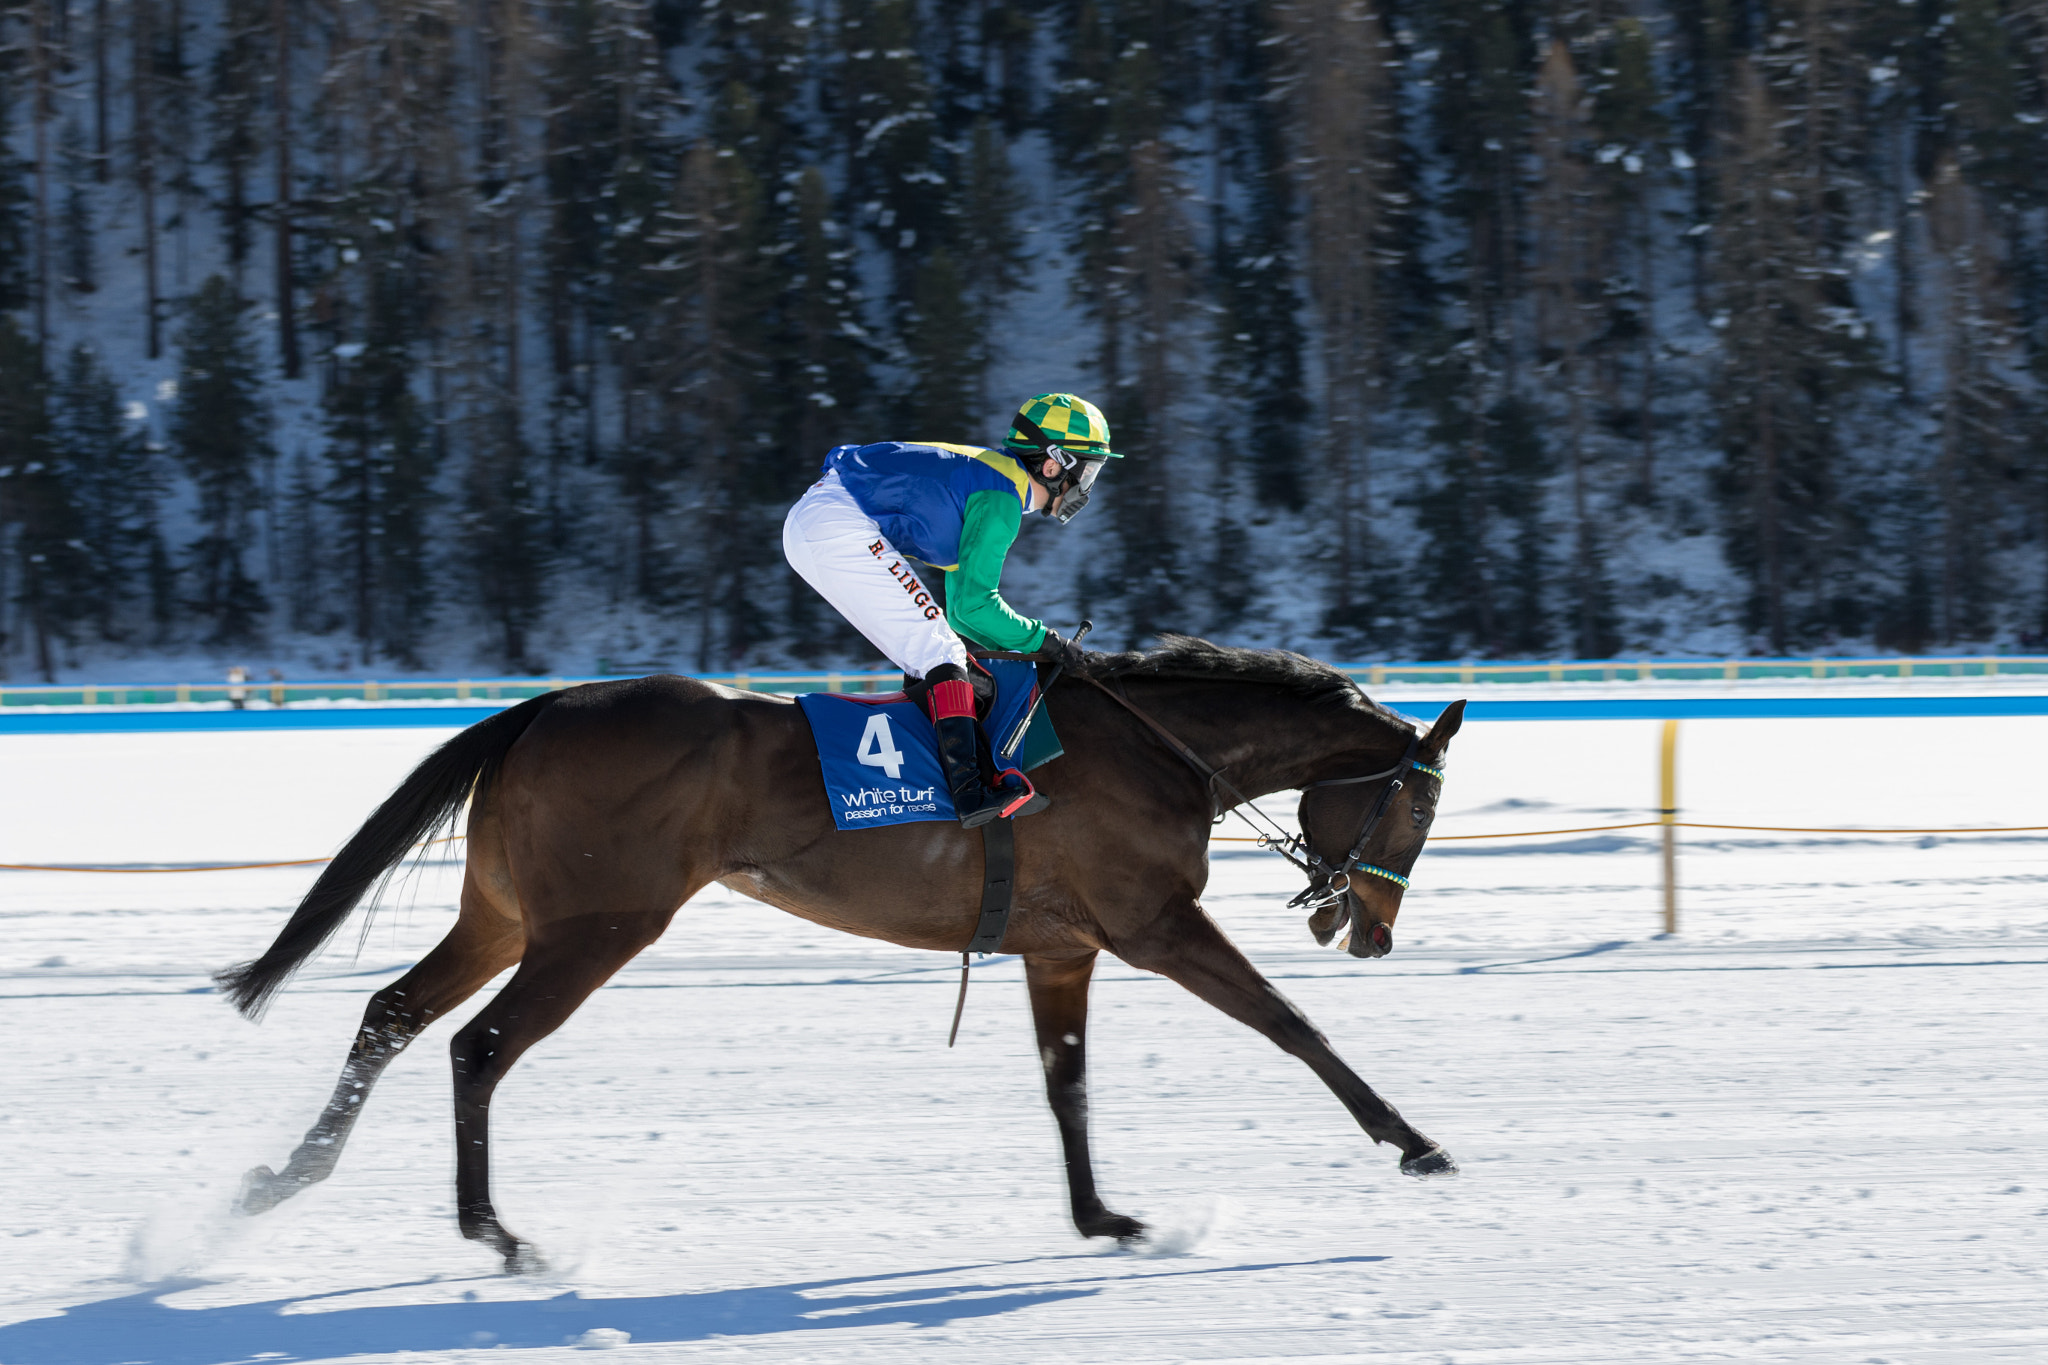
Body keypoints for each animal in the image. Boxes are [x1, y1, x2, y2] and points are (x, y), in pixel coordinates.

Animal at [220, 638, 1474, 1268]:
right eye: (1418, 808)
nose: (1370, 930)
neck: (1157, 746)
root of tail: (547, 707)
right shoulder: (1153, 925)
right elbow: (1288, 1024)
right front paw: (1412, 1141)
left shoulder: (1058, 947)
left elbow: (1065, 1084)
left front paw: (1100, 1217)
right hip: (595, 927)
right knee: (477, 1048)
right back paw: (495, 1232)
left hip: (505, 915)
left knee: (393, 1013)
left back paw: (283, 1176)